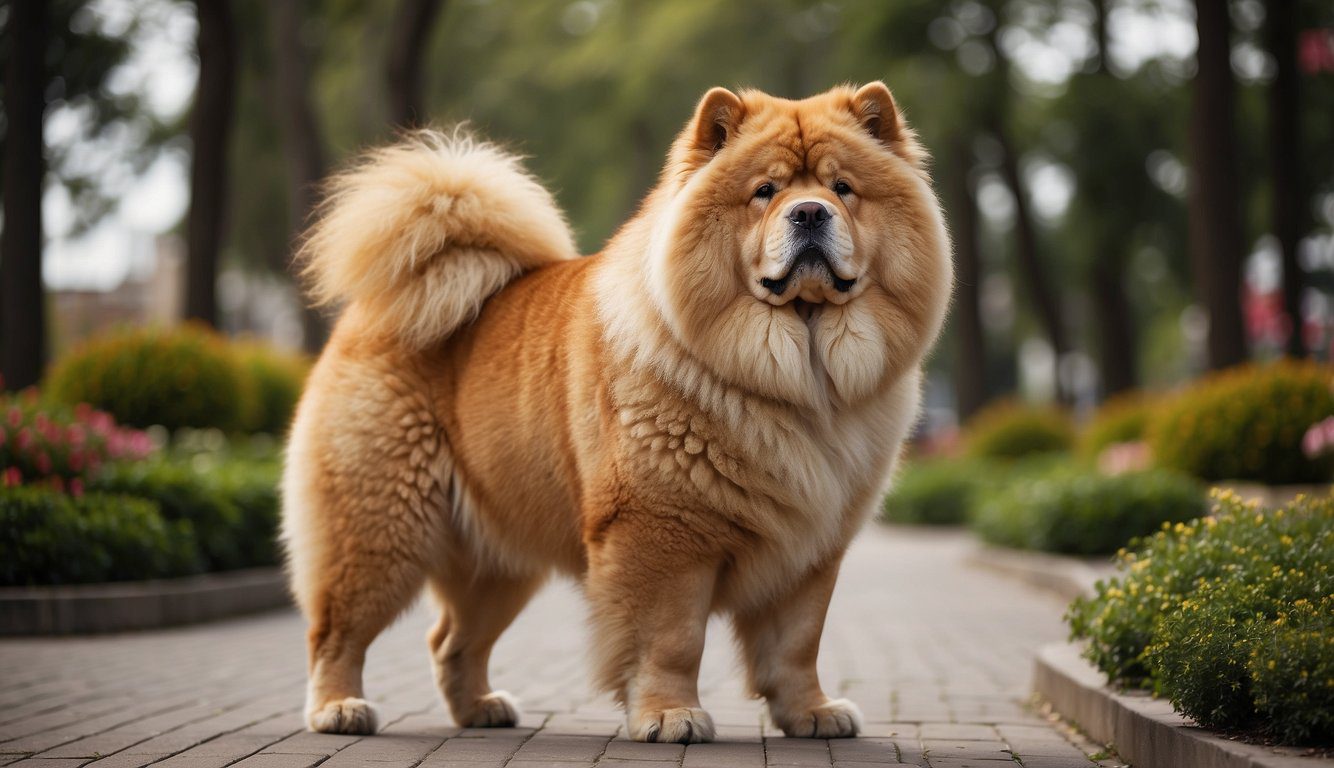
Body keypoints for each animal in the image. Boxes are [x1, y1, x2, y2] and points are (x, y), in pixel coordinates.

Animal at [284, 81, 949, 741]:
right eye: (765, 191)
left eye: (843, 189)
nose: (809, 212)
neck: (799, 377)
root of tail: (372, 312)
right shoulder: (663, 536)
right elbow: (671, 639)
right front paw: (670, 715)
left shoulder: (812, 549)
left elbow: (797, 644)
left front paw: (812, 713)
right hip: (381, 529)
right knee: (336, 631)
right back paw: (339, 709)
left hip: (499, 561)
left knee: (452, 640)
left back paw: (481, 709)